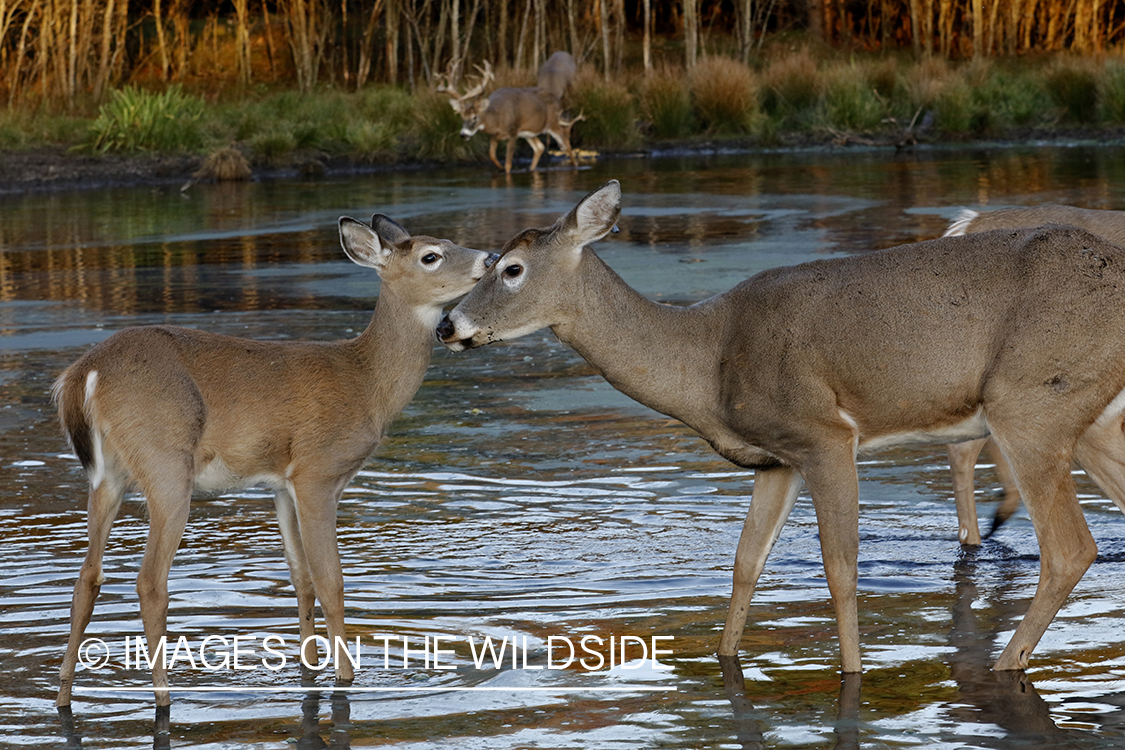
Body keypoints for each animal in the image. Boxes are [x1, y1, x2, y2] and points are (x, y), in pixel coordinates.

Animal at [55, 218, 497, 710]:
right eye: (431, 256)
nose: (491, 258)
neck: (367, 383)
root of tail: (84, 375)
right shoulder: (317, 472)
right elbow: (330, 582)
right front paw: (346, 677)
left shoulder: (281, 484)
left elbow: (301, 580)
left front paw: (309, 669)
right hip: (166, 462)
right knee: (150, 581)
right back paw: (165, 697)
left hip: (107, 476)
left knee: (86, 578)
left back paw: (63, 696)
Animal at [436, 62, 585, 174]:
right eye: (462, 116)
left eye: (474, 117)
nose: (463, 134)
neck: (497, 118)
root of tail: (557, 99)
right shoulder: (496, 136)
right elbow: (492, 155)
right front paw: (500, 167)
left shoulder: (513, 132)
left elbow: (508, 163)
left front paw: (506, 171)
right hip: (529, 133)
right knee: (540, 147)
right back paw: (531, 169)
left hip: (554, 123)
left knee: (566, 144)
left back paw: (575, 166)